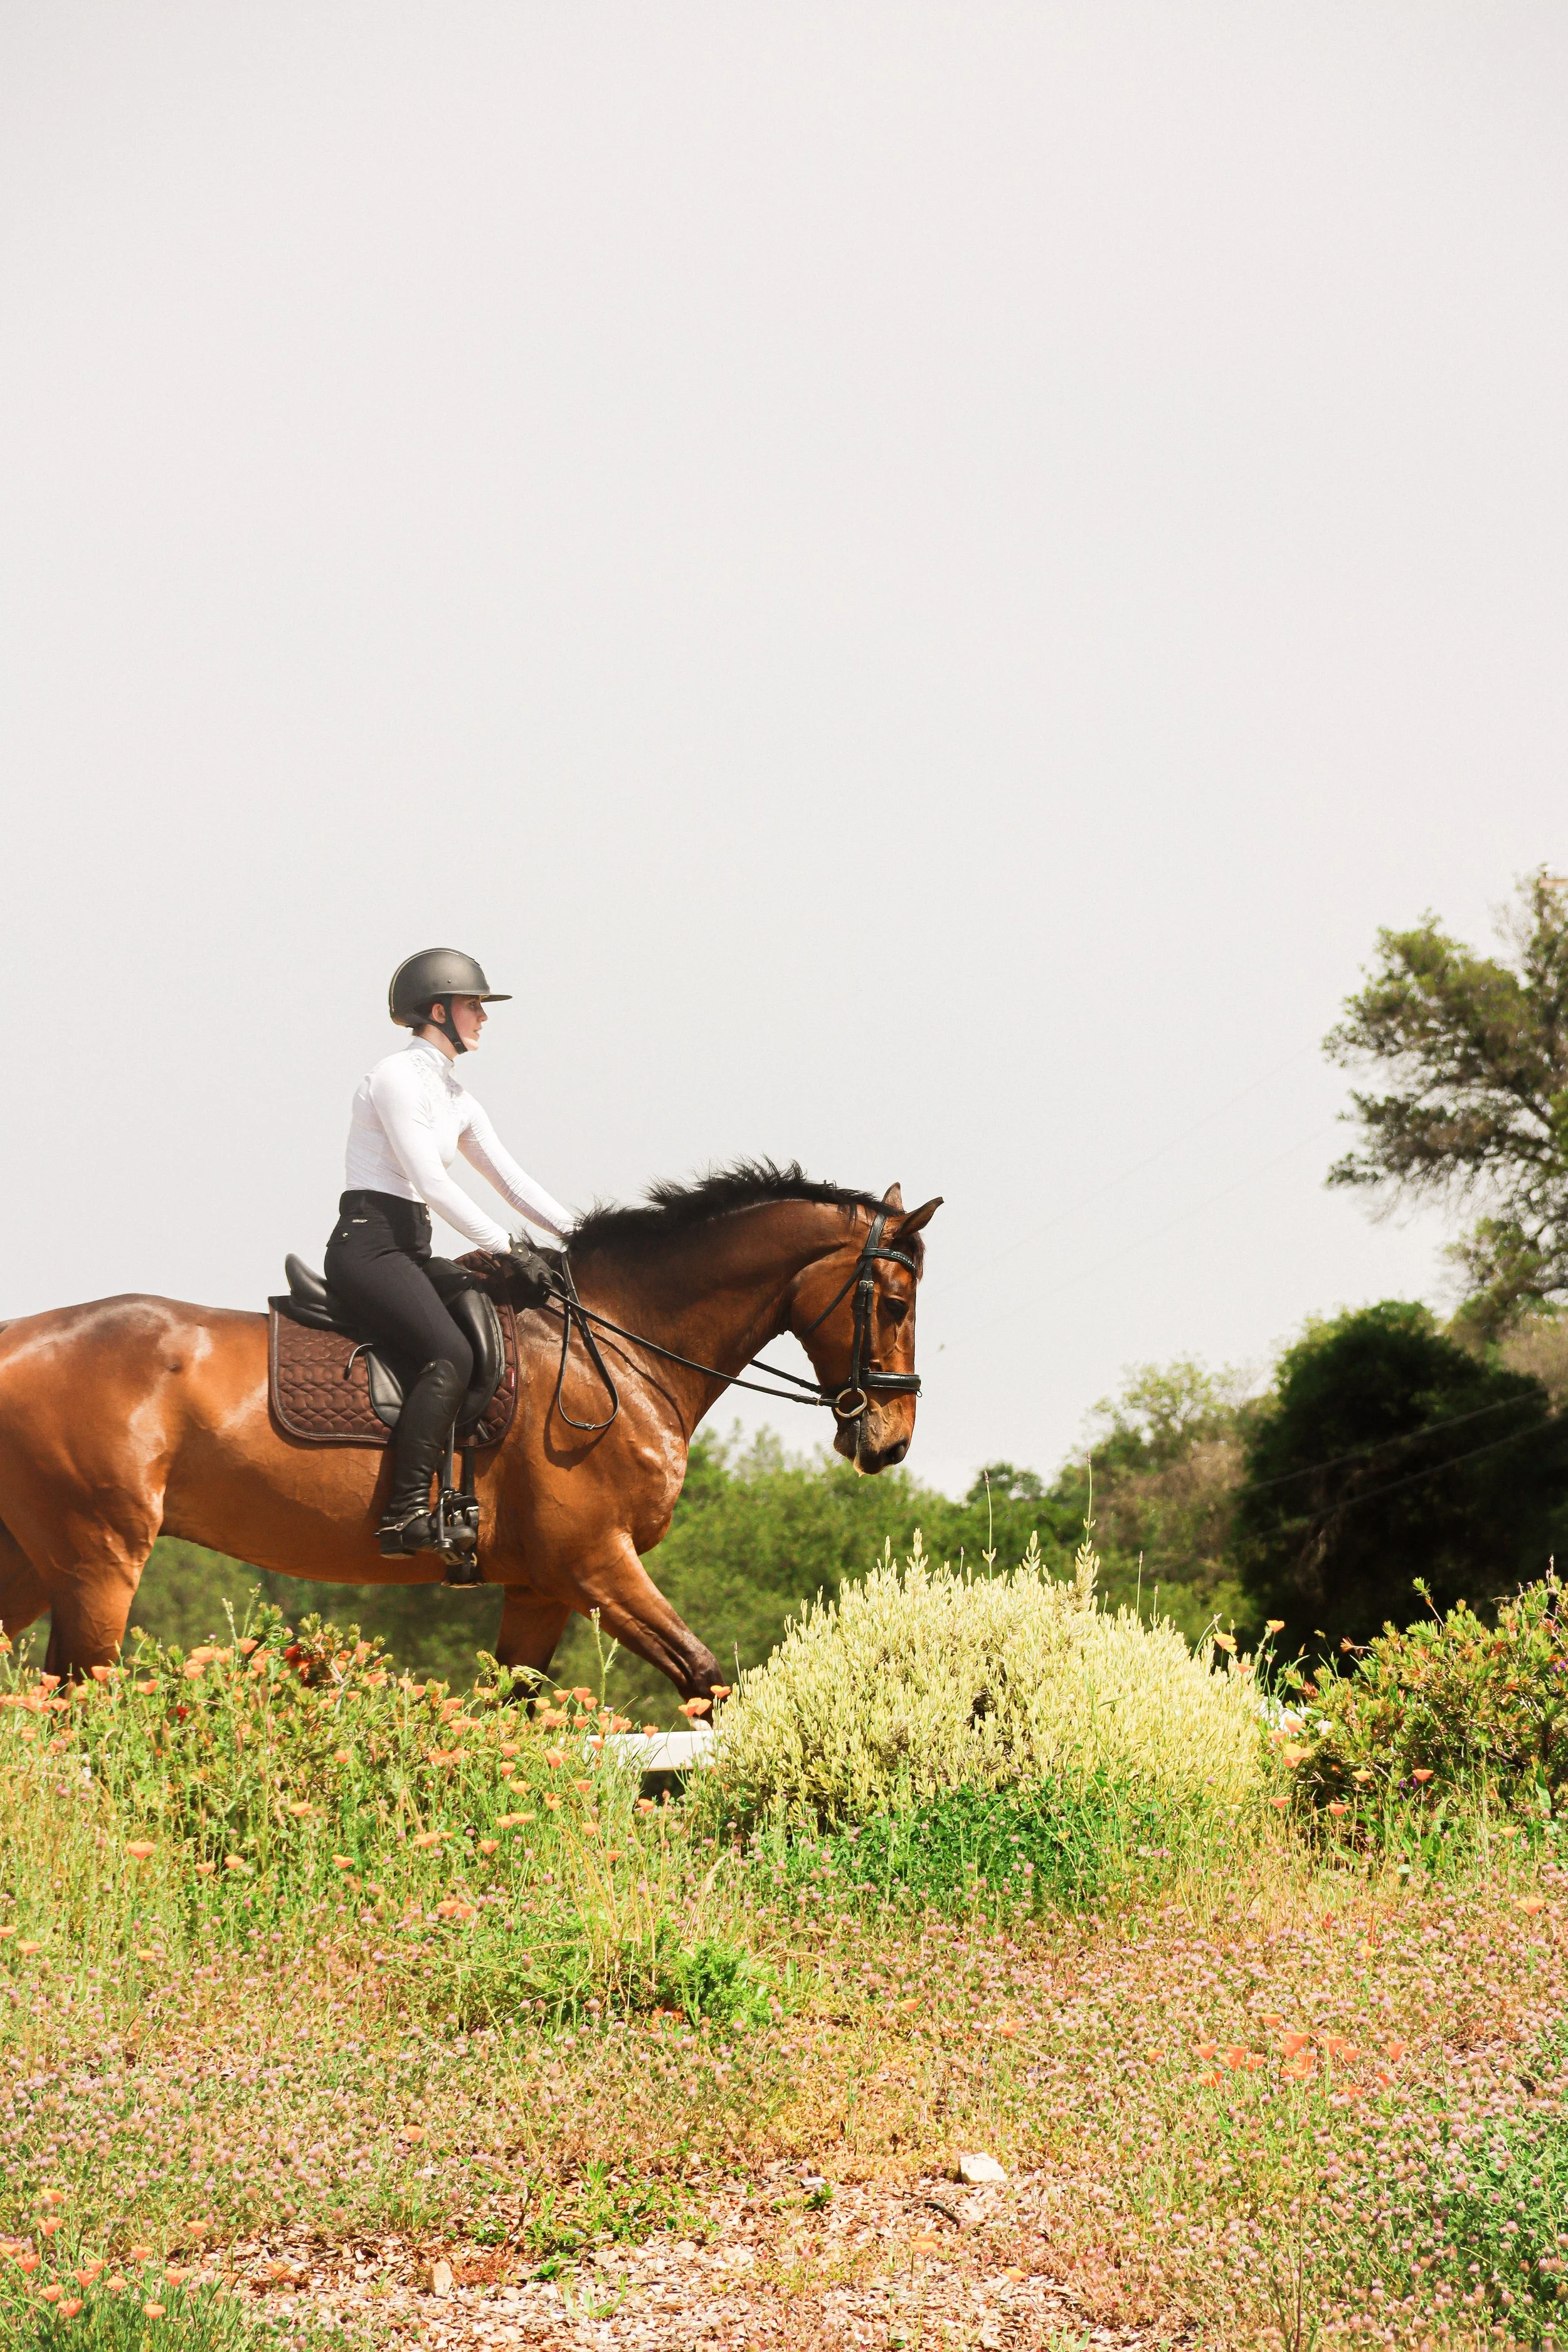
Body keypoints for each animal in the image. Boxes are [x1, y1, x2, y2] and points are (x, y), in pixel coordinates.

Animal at [0, 1164, 940, 1691]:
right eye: (895, 1303)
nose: (890, 1441)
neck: (614, 1343)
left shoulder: (542, 1589)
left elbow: (509, 1718)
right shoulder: (595, 1564)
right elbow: (706, 1680)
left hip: (36, 1567)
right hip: (98, 1563)